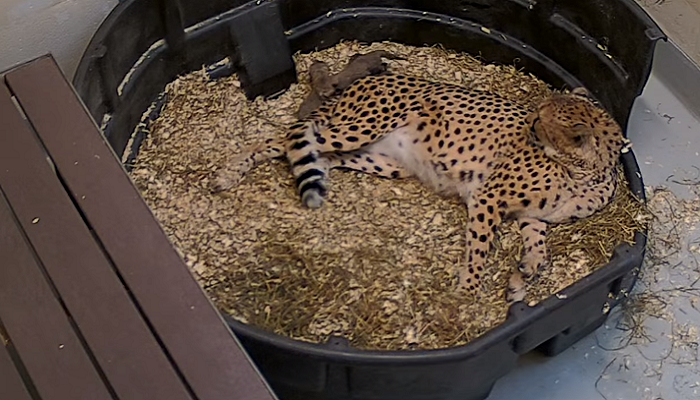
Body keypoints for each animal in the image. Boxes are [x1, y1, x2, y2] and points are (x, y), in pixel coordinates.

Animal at [216, 73, 628, 302]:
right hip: (358, 127)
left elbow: (539, 249)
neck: (584, 172)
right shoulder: (488, 198)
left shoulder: (532, 216)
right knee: (287, 135)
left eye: (542, 119)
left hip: (382, 160)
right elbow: (479, 249)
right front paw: (467, 293)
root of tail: (369, 79)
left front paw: (521, 276)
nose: (531, 121)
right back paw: (230, 171)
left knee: (318, 154)